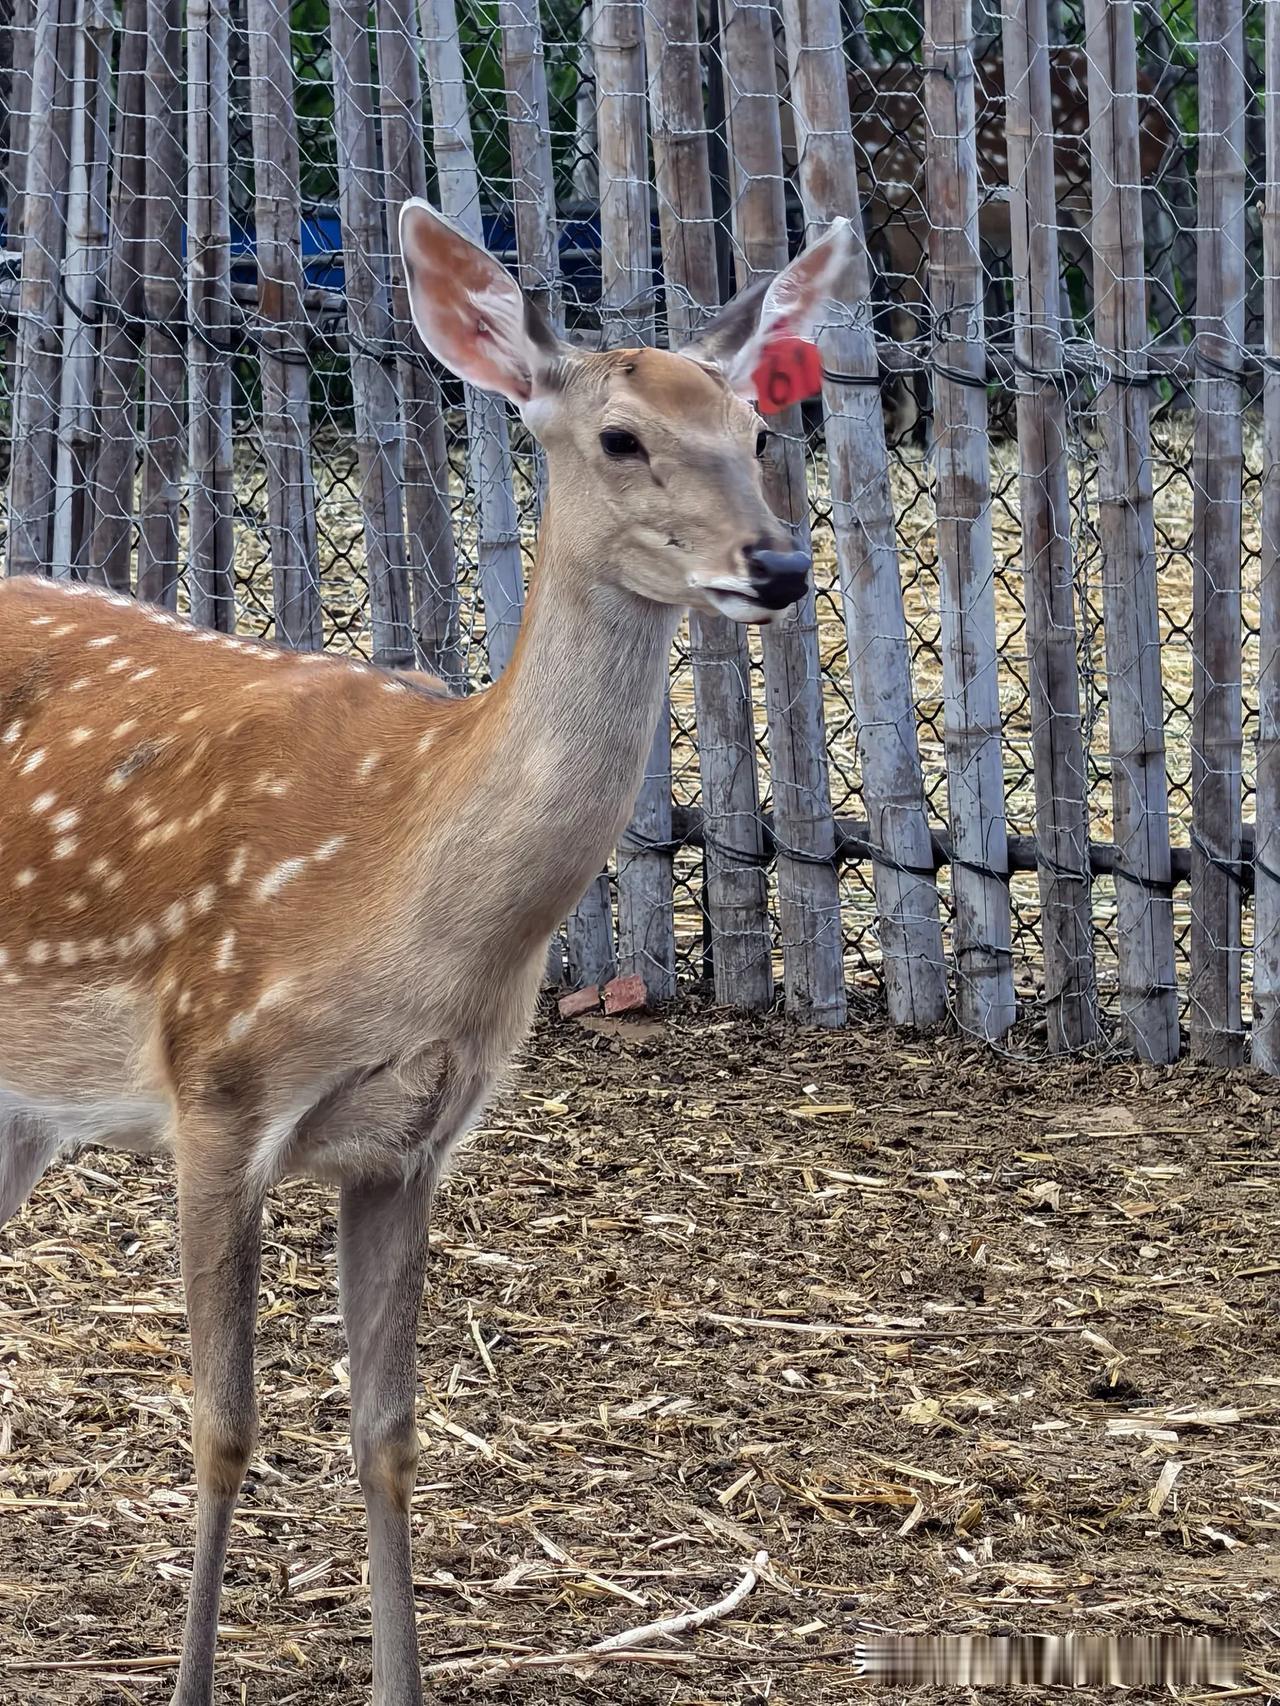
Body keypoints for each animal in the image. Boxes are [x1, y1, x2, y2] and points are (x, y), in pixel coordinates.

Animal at [0, 201, 851, 1704]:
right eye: (620, 437)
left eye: (756, 427)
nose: (779, 565)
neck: (407, 903)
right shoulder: (214, 1083)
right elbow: (222, 1423)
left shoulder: (412, 1139)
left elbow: (388, 1431)